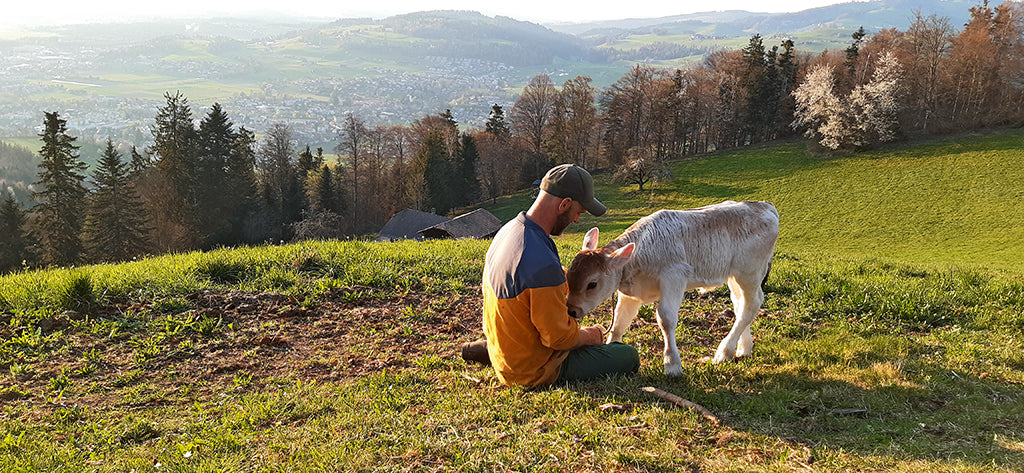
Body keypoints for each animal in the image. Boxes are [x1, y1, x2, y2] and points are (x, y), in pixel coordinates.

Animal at [569, 200, 774, 376]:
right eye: (568, 276)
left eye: (592, 284)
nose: (571, 310)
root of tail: (764, 205)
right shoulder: (631, 294)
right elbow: (620, 321)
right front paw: (611, 345)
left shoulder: (675, 276)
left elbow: (665, 319)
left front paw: (672, 364)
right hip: (734, 275)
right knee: (740, 304)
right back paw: (744, 348)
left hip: (750, 272)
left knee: (751, 305)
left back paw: (725, 351)